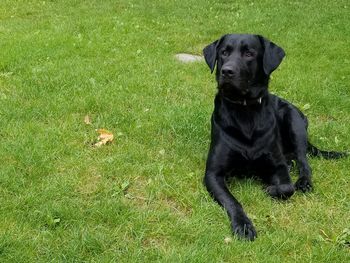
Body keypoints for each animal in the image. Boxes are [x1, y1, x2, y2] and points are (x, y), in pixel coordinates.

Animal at [202, 34, 344, 242]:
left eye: (249, 53)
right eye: (224, 52)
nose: (227, 71)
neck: (245, 112)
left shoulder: (278, 166)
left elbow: (287, 188)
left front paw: (270, 188)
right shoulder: (213, 173)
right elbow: (232, 201)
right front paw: (243, 225)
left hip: (294, 121)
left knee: (304, 161)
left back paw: (303, 180)